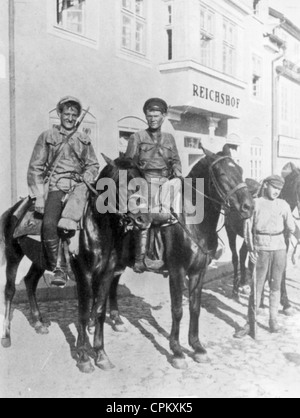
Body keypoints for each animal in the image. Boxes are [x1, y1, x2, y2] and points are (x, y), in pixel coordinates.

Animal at [72, 145, 253, 370]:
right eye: (221, 174)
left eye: (240, 170)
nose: (249, 207)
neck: (193, 221)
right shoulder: (177, 271)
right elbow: (177, 310)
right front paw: (177, 351)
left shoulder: (199, 272)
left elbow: (195, 308)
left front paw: (197, 347)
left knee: (111, 285)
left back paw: (115, 320)